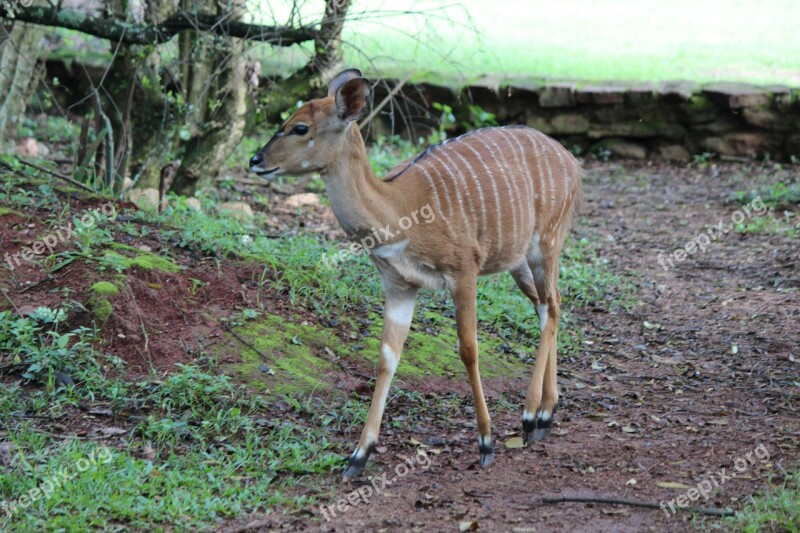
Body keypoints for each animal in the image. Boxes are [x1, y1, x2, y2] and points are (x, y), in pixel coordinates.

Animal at [248, 68, 580, 476]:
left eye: (299, 128)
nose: (255, 159)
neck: (399, 211)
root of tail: (572, 162)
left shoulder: (463, 270)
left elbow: (469, 349)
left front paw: (486, 442)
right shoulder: (399, 284)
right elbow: (386, 358)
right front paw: (358, 455)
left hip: (546, 241)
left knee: (550, 305)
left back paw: (532, 417)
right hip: (517, 260)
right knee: (549, 305)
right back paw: (547, 411)